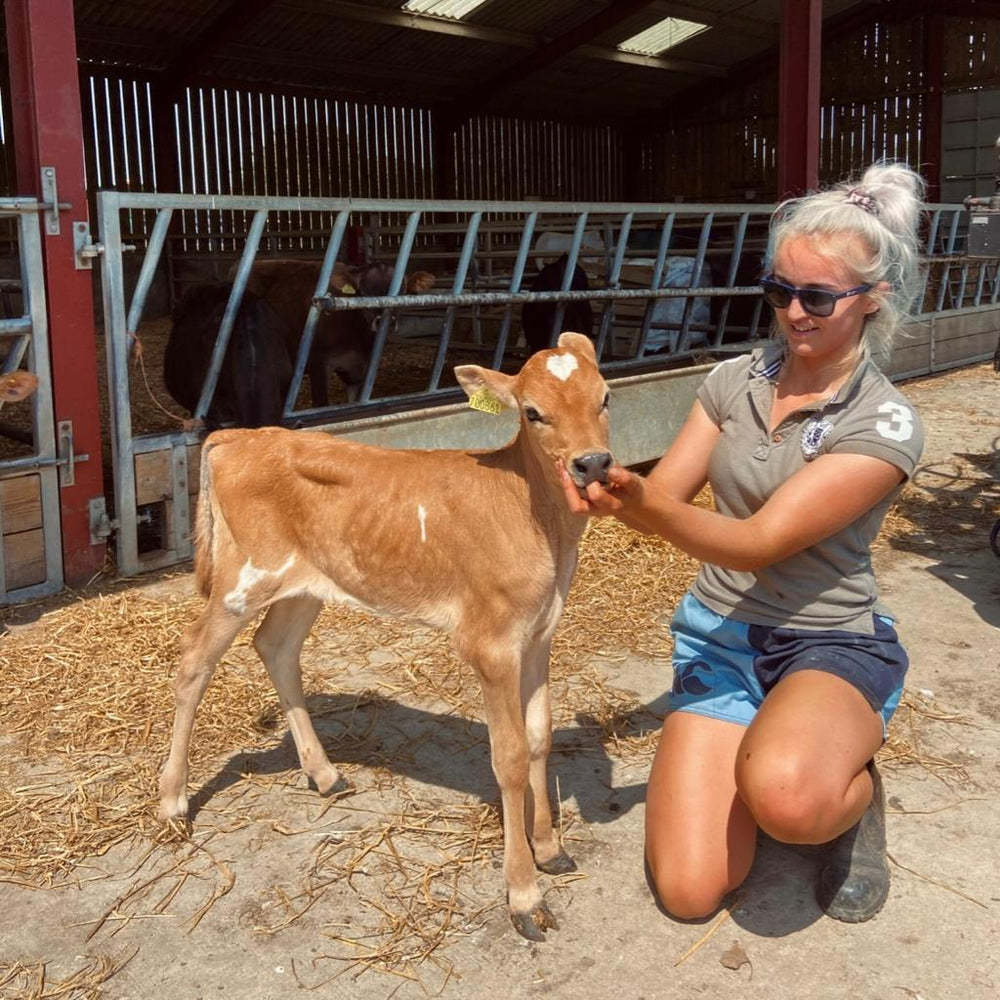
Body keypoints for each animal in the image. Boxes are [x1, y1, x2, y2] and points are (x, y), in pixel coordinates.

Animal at [158, 332, 608, 940]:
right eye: (533, 412)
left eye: (604, 398)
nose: (594, 463)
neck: (534, 515)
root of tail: (241, 436)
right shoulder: (490, 643)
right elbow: (510, 756)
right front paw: (524, 894)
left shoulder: (539, 633)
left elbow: (541, 736)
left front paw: (550, 848)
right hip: (242, 577)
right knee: (193, 660)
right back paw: (174, 801)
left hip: (305, 583)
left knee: (275, 647)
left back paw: (324, 774)